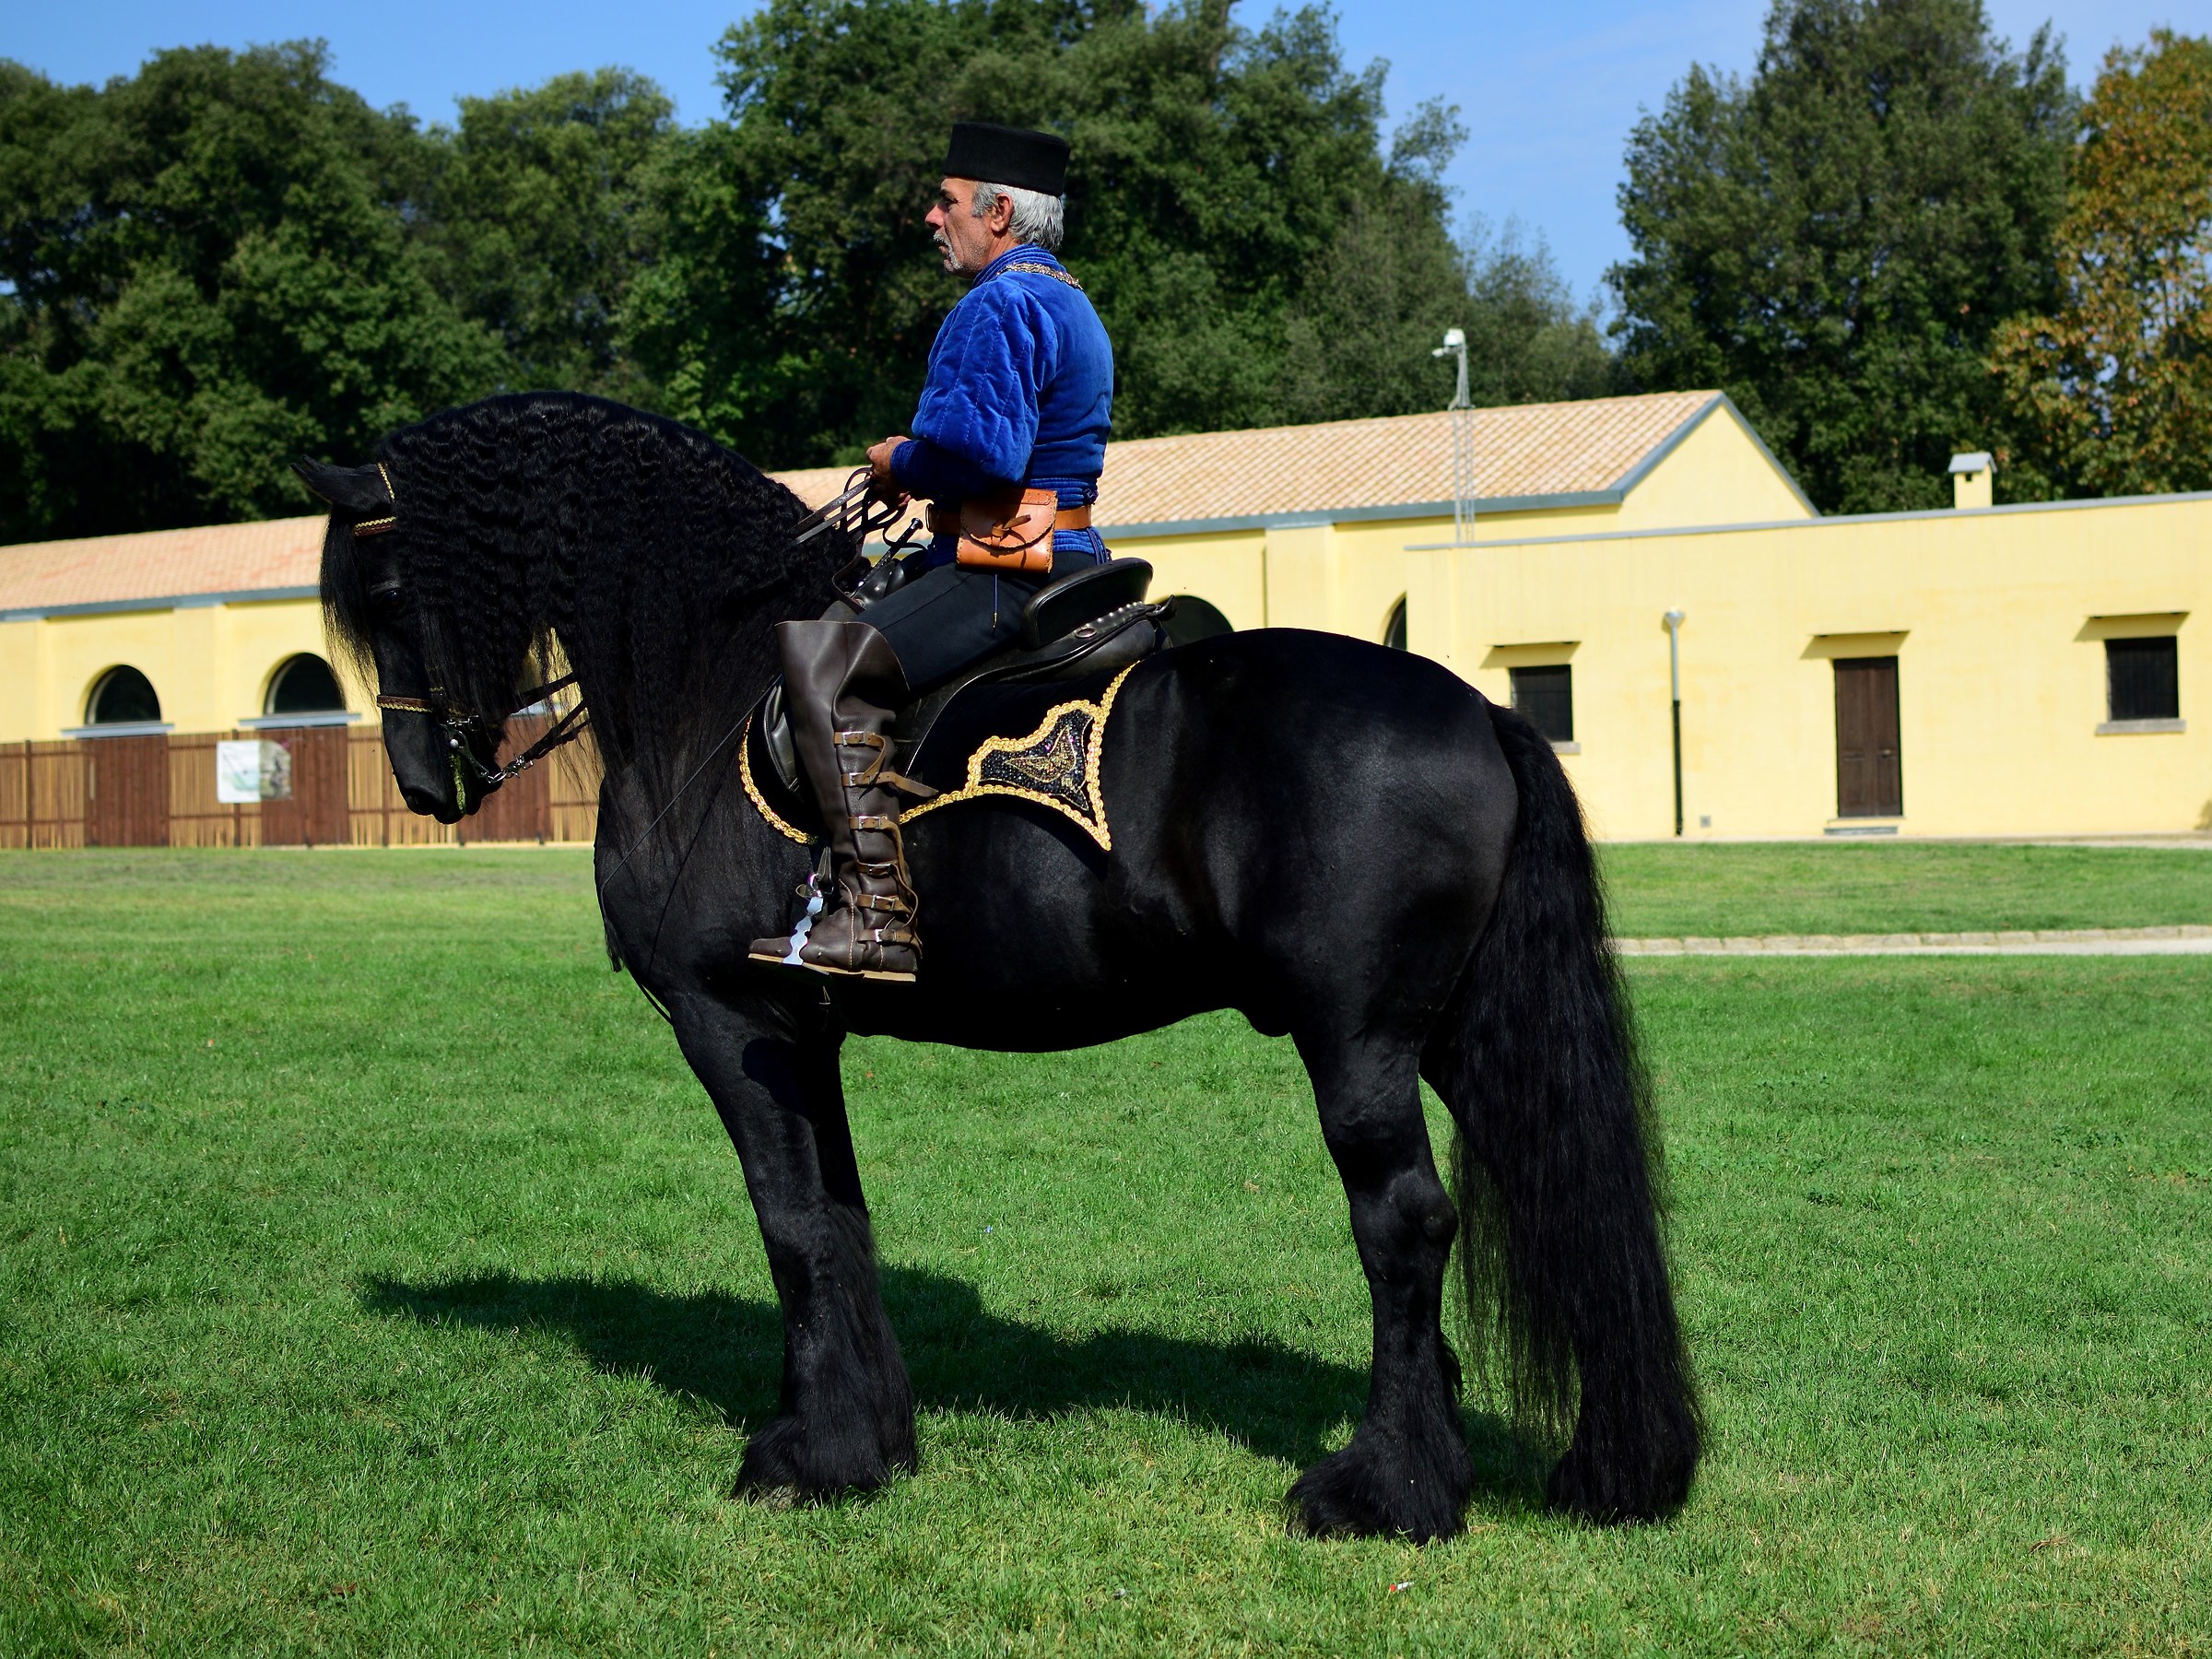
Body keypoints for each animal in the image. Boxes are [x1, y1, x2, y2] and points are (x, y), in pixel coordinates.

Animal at [305, 390, 1699, 1542]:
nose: (426, 780)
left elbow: (787, 1225)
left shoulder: (727, 1019)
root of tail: (1480, 708)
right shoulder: (805, 1032)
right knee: (1550, 1180)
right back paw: (1601, 1465)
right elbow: (838, 1217)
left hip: (1357, 1042)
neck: (707, 680)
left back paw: (1386, 1489)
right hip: (1458, 1032)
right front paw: (866, 1439)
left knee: (1405, 1225)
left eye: (387, 597)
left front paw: (803, 1456)